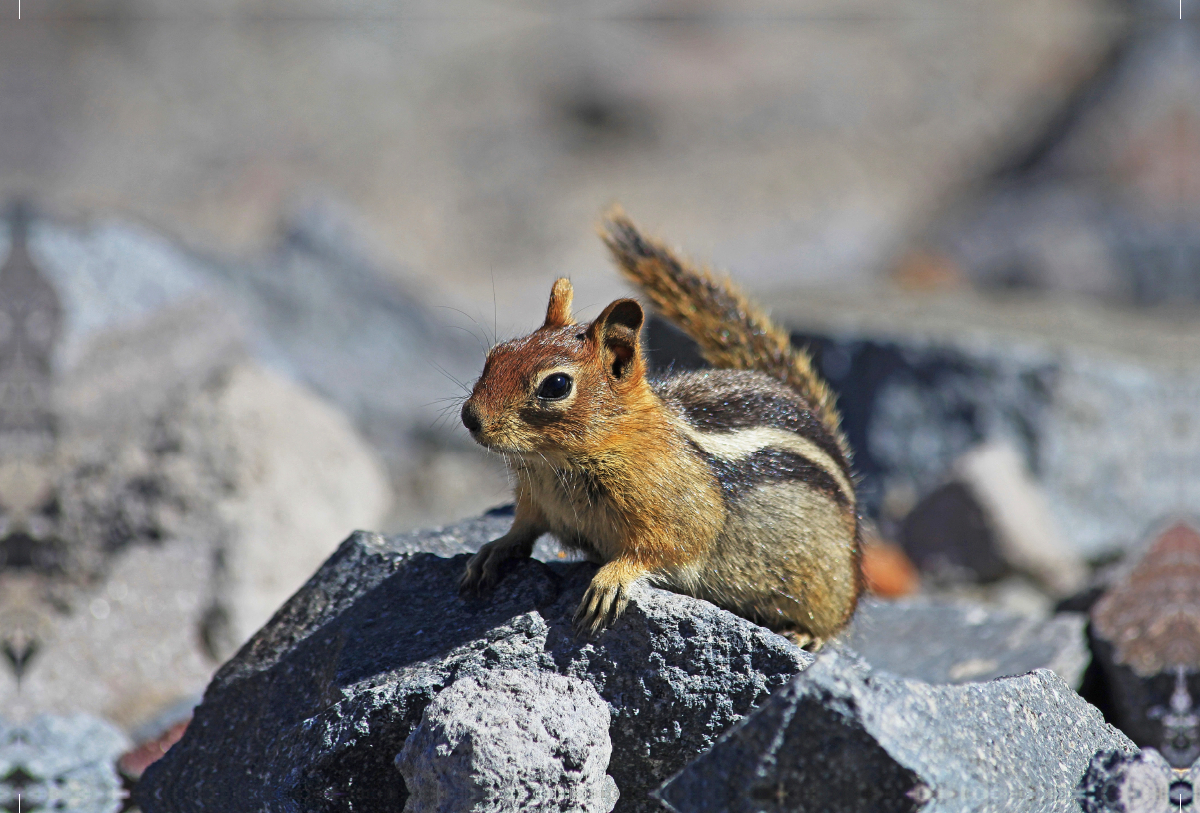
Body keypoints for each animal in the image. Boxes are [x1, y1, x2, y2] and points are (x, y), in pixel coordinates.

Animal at [453, 209, 859, 647]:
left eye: (556, 385)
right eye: (496, 354)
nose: (471, 418)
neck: (557, 462)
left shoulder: (678, 514)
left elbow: (665, 548)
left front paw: (610, 580)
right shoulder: (535, 499)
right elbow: (522, 528)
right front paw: (493, 549)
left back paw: (804, 634)